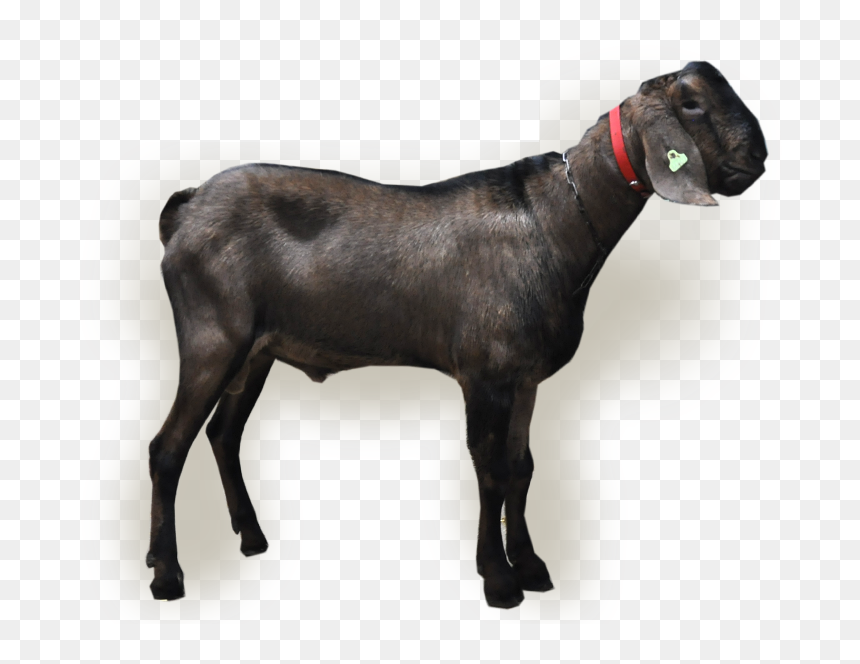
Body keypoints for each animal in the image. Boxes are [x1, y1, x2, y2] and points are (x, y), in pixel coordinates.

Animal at [147, 61, 767, 608]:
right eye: (691, 103)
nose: (756, 158)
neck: (554, 223)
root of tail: (186, 208)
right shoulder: (485, 374)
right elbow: (490, 469)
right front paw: (499, 580)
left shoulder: (525, 378)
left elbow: (522, 468)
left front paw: (533, 566)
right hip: (213, 336)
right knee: (167, 447)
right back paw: (166, 574)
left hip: (258, 350)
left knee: (223, 434)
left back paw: (249, 537)